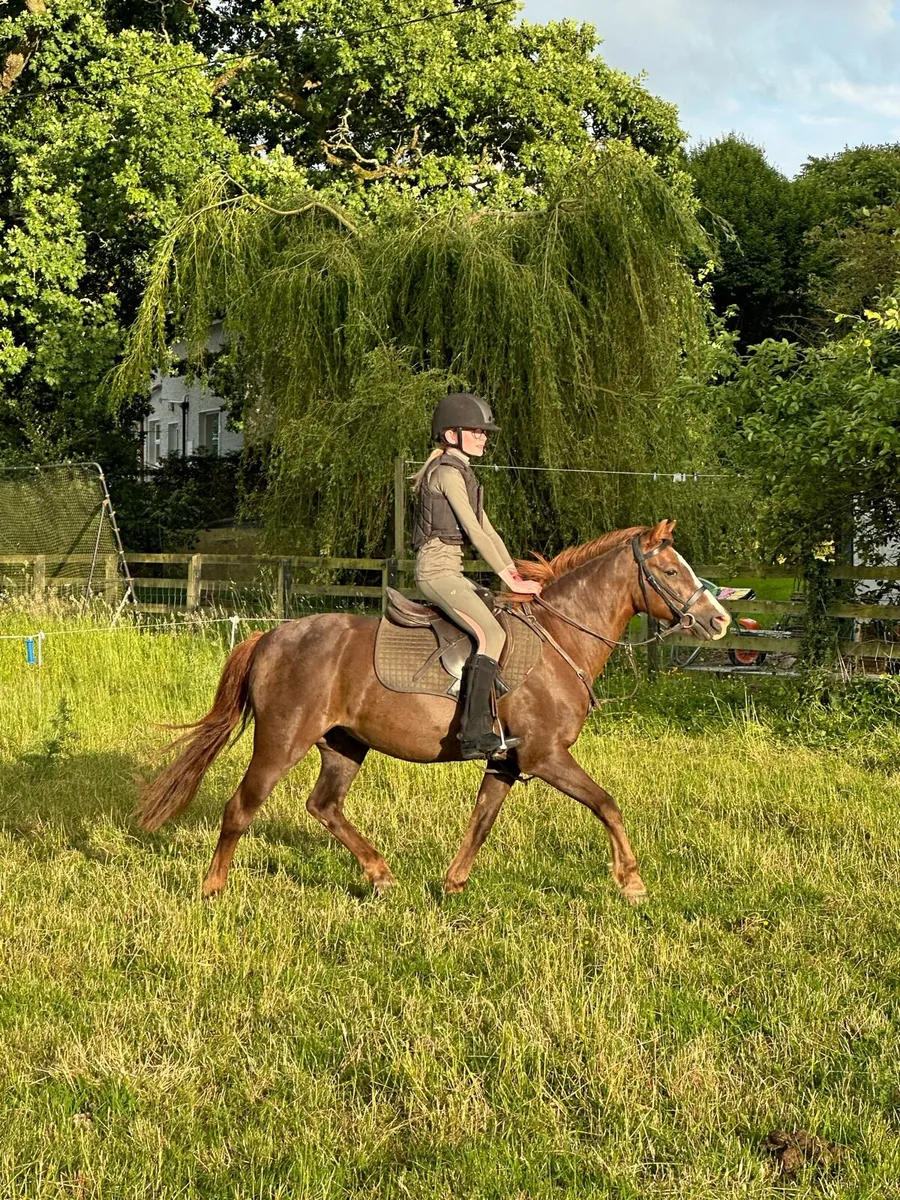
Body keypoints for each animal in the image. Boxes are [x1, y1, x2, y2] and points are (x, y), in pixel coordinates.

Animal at [137, 520, 730, 903]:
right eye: (671, 571)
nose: (719, 620)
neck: (558, 639)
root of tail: (270, 637)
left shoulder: (506, 762)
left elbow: (482, 821)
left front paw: (452, 884)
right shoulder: (545, 757)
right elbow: (608, 805)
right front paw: (632, 882)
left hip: (345, 746)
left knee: (324, 806)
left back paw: (380, 875)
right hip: (281, 743)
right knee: (241, 807)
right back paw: (213, 889)